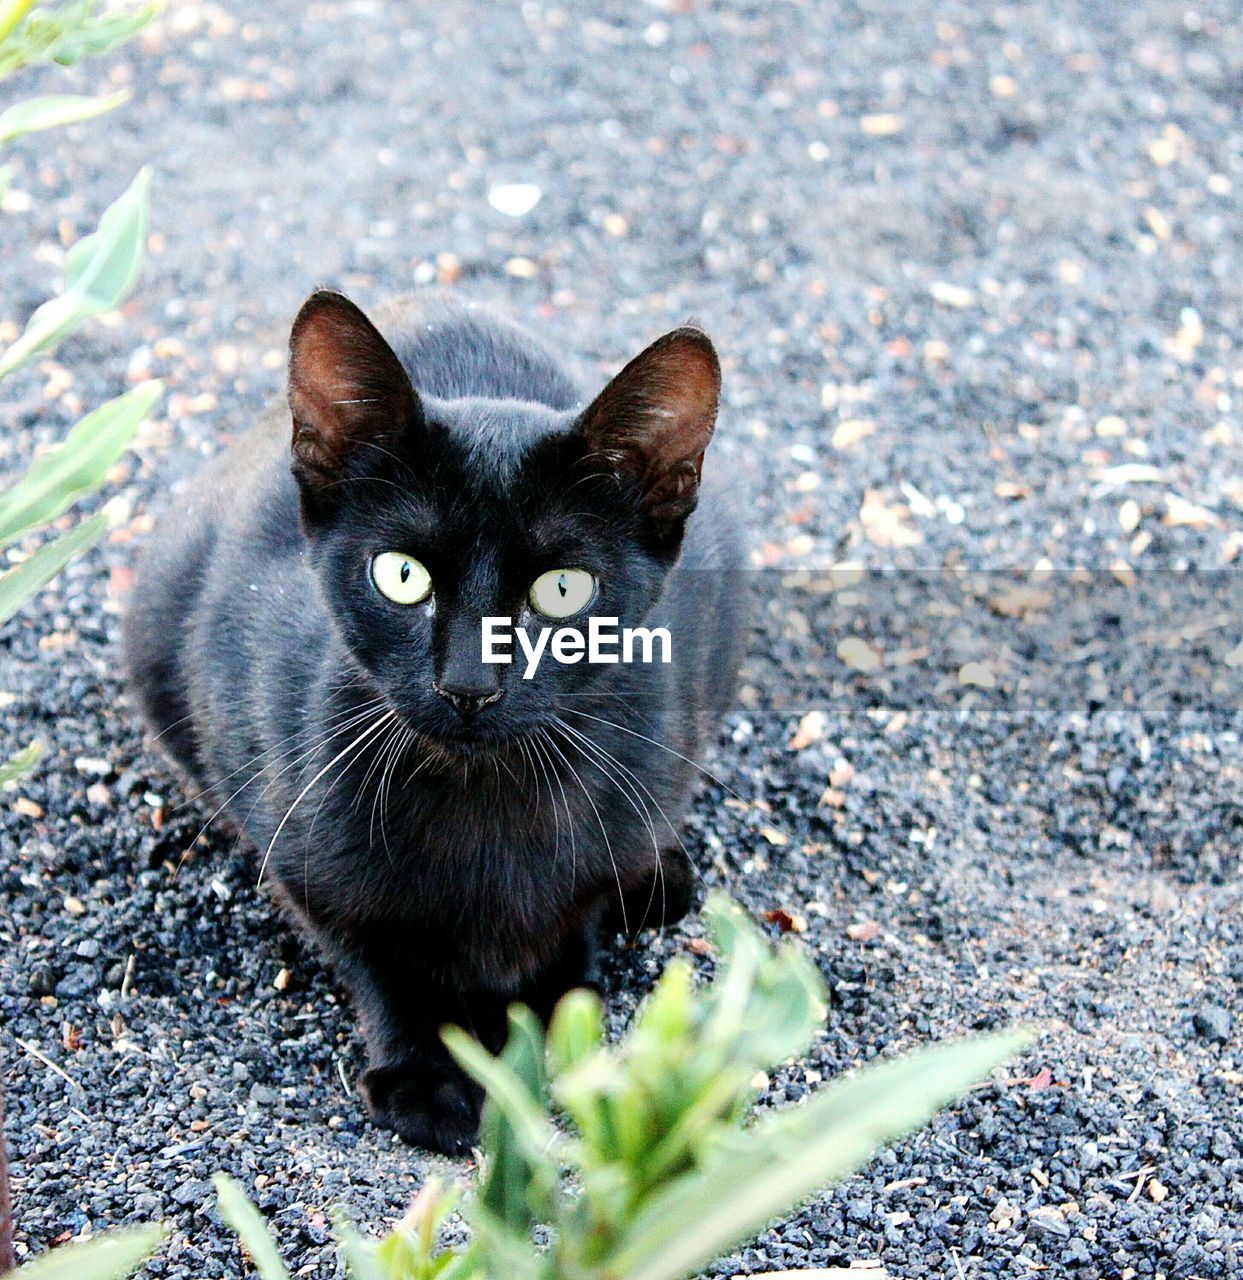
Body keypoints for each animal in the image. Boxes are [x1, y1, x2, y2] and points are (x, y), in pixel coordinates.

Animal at [124, 290, 747, 1152]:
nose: (469, 685)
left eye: (562, 590)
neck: (484, 799)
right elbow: (378, 952)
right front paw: (427, 1072)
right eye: (402, 577)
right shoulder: (291, 836)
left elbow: (575, 916)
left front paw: (549, 1020)